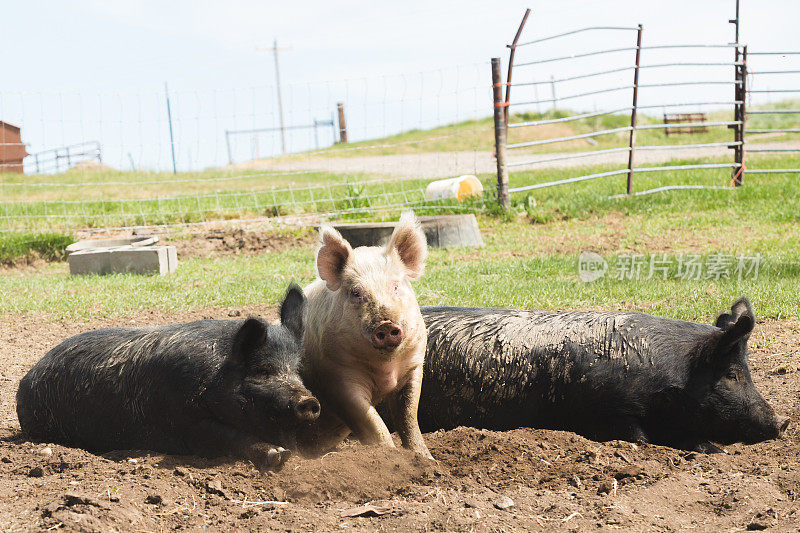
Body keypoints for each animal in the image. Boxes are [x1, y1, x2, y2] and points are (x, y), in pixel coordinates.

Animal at [16, 284, 318, 468]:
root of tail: (27, 377)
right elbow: (228, 436)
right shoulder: (184, 421)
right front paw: (279, 456)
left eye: (296, 369)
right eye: (263, 370)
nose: (310, 402)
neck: (213, 379)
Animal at [298, 212, 432, 458]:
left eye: (396, 286)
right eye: (356, 293)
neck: (385, 368)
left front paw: (428, 459)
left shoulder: (414, 366)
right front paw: (389, 457)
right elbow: (374, 422)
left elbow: (409, 418)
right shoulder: (336, 376)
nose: (385, 325)